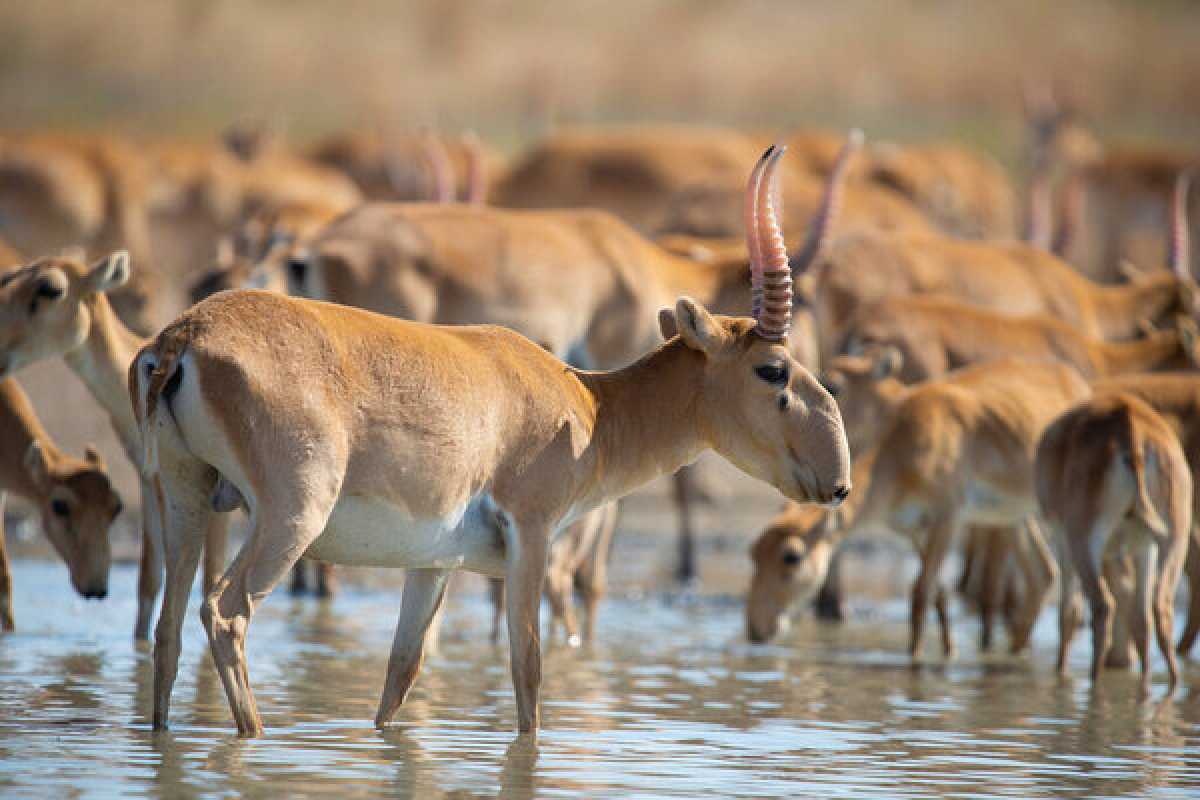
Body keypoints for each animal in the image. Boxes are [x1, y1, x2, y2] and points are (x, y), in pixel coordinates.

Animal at [136, 145, 854, 738]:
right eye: (774, 369)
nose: (838, 481)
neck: (587, 408)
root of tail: (184, 336)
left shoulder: (432, 565)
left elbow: (401, 678)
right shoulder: (531, 538)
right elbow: (528, 671)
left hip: (187, 500)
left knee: (167, 628)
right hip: (289, 519)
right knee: (224, 613)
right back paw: (252, 735)